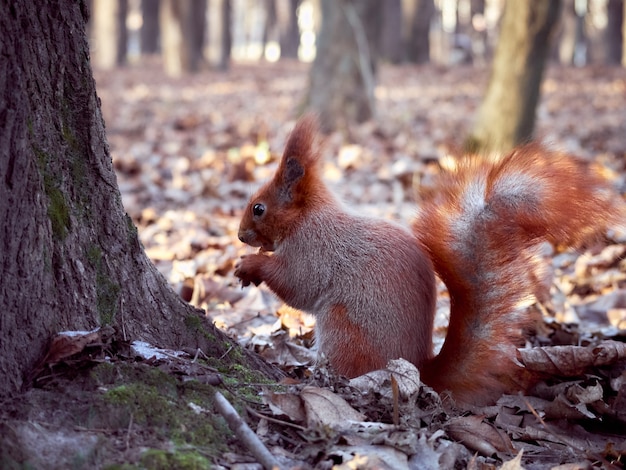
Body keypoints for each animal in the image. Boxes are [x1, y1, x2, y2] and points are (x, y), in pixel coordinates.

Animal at [235, 114, 624, 408]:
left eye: (258, 208)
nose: (239, 236)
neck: (307, 218)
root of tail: (421, 370)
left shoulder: (314, 249)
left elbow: (297, 284)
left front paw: (250, 265)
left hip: (344, 331)